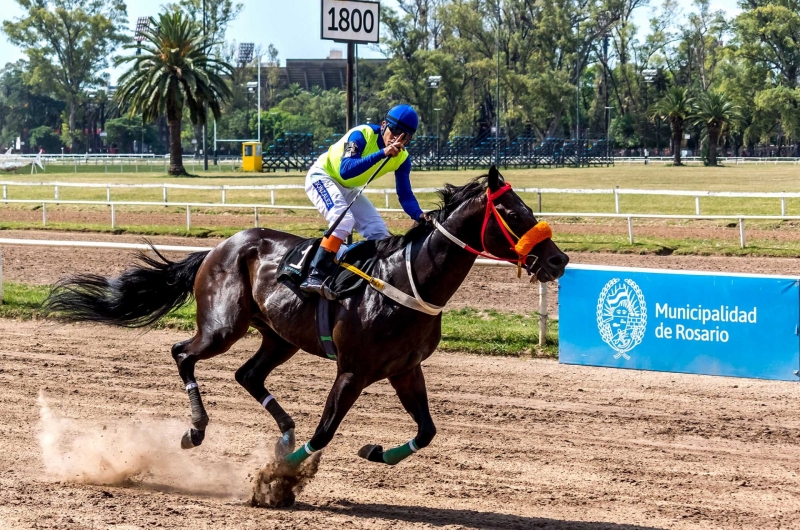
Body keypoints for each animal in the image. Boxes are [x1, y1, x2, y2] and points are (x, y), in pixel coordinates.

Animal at [45, 167, 568, 502]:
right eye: (513, 213)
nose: (559, 260)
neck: (405, 281)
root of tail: (220, 246)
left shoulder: (405, 370)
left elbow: (427, 431)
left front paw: (374, 450)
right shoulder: (353, 370)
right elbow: (325, 431)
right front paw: (279, 479)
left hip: (279, 336)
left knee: (248, 375)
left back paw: (282, 432)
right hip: (223, 326)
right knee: (182, 353)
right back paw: (196, 429)